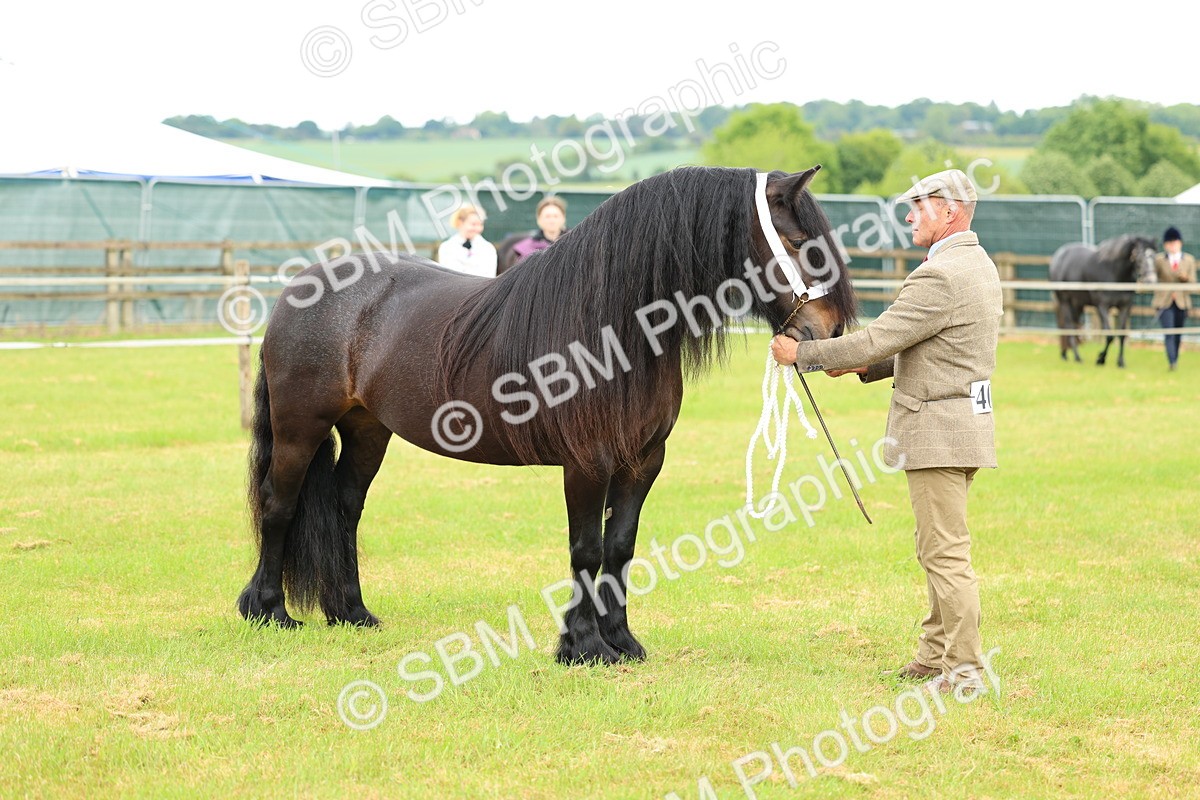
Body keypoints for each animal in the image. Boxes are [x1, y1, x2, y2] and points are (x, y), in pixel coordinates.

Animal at [236, 165, 858, 665]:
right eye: (799, 242)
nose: (826, 333)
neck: (614, 328)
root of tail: (301, 287)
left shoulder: (644, 461)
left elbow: (620, 546)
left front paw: (622, 642)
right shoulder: (587, 462)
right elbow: (586, 548)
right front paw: (581, 647)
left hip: (367, 431)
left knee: (344, 507)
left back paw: (351, 613)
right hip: (300, 429)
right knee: (279, 504)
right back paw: (268, 611)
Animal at [1049, 235, 1158, 368]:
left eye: (1154, 255)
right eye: (1139, 255)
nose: (1151, 281)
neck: (1113, 273)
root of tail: (1058, 256)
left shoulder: (1125, 306)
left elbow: (1121, 334)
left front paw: (1121, 362)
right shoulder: (1102, 306)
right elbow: (1109, 335)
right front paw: (1100, 358)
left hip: (1077, 304)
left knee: (1072, 325)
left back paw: (1065, 354)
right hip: (1064, 300)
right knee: (1069, 325)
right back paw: (1077, 357)